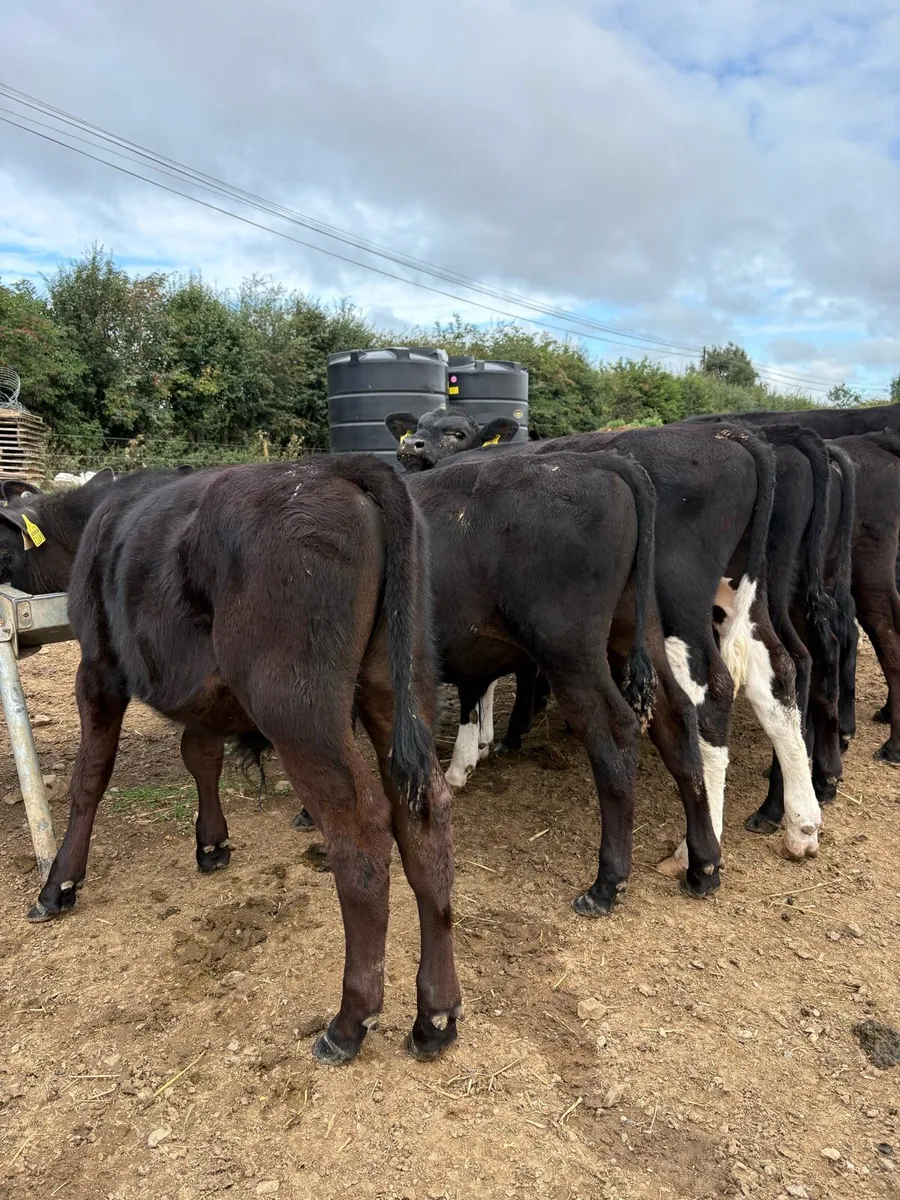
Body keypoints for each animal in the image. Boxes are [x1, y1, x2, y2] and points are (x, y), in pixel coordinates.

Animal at [0, 457, 461, 1066]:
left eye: (0, 548)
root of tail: (336, 467)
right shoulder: (203, 689)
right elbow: (199, 756)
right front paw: (212, 843)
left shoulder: (98, 666)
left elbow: (89, 777)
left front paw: (59, 885)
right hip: (399, 680)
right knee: (424, 817)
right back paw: (436, 1017)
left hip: (296, 702)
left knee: (360, 830)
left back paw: (349, 1022)